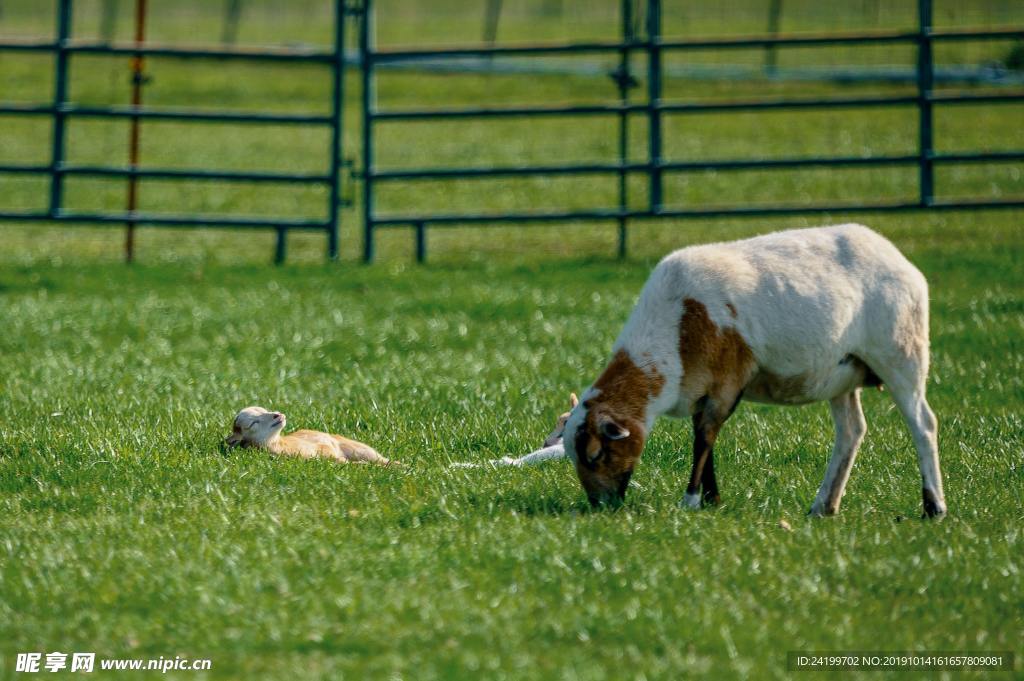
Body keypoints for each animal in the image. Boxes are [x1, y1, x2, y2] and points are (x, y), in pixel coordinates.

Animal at [565, 223, 946, 516]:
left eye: (596, 454)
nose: (600, 506)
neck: (672, 333)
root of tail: (895, 255)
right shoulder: (703, 389)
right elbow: (704, 441)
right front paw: (712, 499)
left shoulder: (727, 381)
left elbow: (704, 439)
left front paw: (691, 500)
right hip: (841, 373)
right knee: (851, 432)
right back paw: (823, 506)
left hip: (901, 352)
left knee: (923, 424)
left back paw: (934, 507)